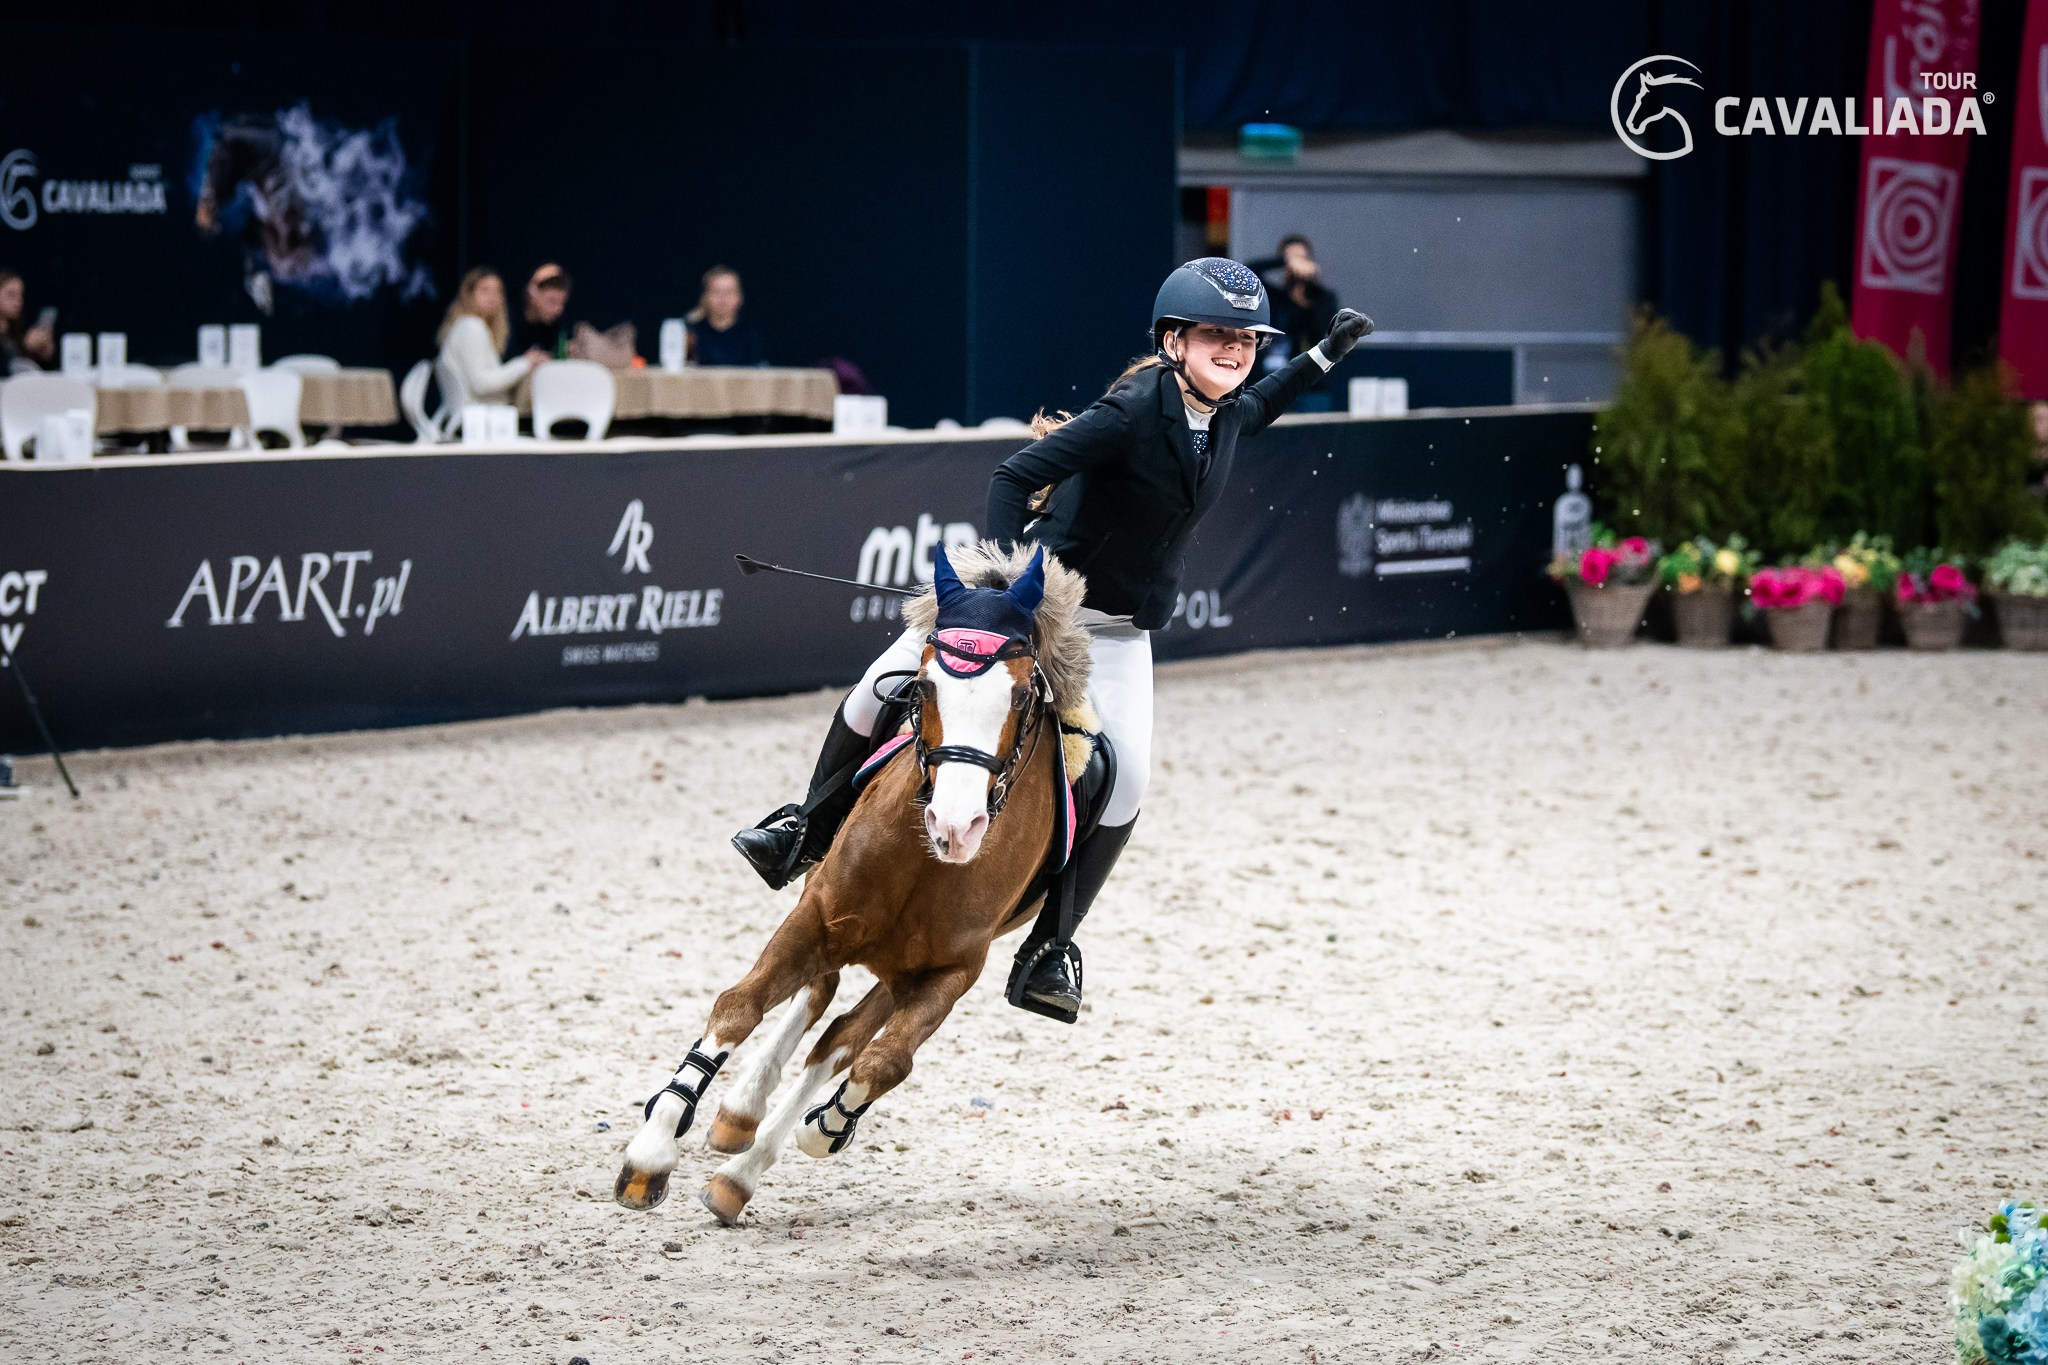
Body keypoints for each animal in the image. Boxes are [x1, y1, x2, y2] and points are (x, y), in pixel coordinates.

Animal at [614, 541, 1096, 1224]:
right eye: (925, 685)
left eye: (1024, 694)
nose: (955, 826)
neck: (923, 863)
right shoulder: (816, 915)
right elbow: (738, 1006)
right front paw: (651, 1154)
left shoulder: (950, 973)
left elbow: (884, 1060)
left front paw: (818, 1131)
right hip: (823, 905)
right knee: (817, 995)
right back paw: (740, 1111)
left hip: (897, 971)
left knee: (841, 1036)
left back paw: (752, 1147)